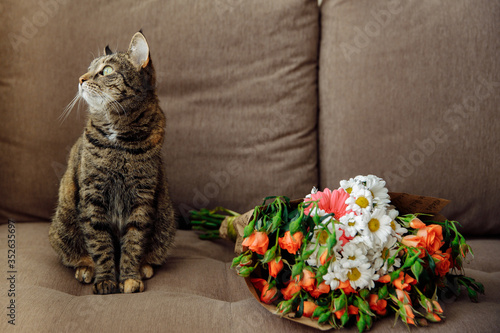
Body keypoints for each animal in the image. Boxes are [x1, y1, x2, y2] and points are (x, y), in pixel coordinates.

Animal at [48, 32, 174, 294]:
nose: (80, 79)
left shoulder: (142, 197)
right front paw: (106, 280)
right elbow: (100, 242)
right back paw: (86, 269)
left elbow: (134, 241)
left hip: (166, 223)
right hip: (61, 226)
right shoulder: (92, 194)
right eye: (89, 68)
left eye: (106, 71)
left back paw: (144, 268)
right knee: (77, 255)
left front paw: (129, 277)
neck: (119, 142)